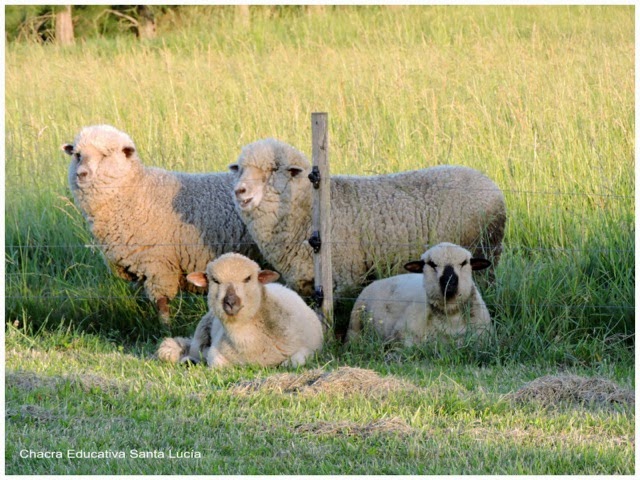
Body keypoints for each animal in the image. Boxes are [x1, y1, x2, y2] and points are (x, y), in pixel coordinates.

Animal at [60, 124, 260, 322]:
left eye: (105, 154)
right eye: (78, 155)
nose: (81, 174)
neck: (135, 191)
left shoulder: (158, 263)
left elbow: (161, 303)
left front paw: (164, 326)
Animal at [156, 251, 324, 368]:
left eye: (248, 278)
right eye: (215, 280)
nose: (230, 302)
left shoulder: (309, 349)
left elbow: (293, 363)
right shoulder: (216, 350)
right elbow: (216, 363)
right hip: (202, 331)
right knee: (193, 349)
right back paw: (189, 360)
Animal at [229, 137, 504, 298]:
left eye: (274, 168)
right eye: (240, 168)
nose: (240, 191)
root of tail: (492, 185)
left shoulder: (345, 278)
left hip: (483, 252)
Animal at [348, 244, 492, 344]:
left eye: (464, 263)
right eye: (432, 264)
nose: (449, 284)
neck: (451, 319)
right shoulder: (402, 336)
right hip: (354, 326)